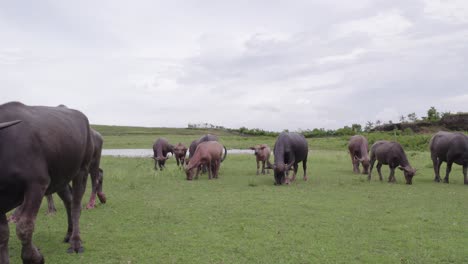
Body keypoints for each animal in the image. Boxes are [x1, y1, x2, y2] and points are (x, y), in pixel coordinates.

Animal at [0, 101, 95, 264]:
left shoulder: (37, 184)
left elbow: (24, 227)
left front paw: (34, 257)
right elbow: (3, 234)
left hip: (82, 170)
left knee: (76, 205)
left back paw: (76, 242)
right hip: (61, 179)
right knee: (68, 200)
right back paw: (69, 234)